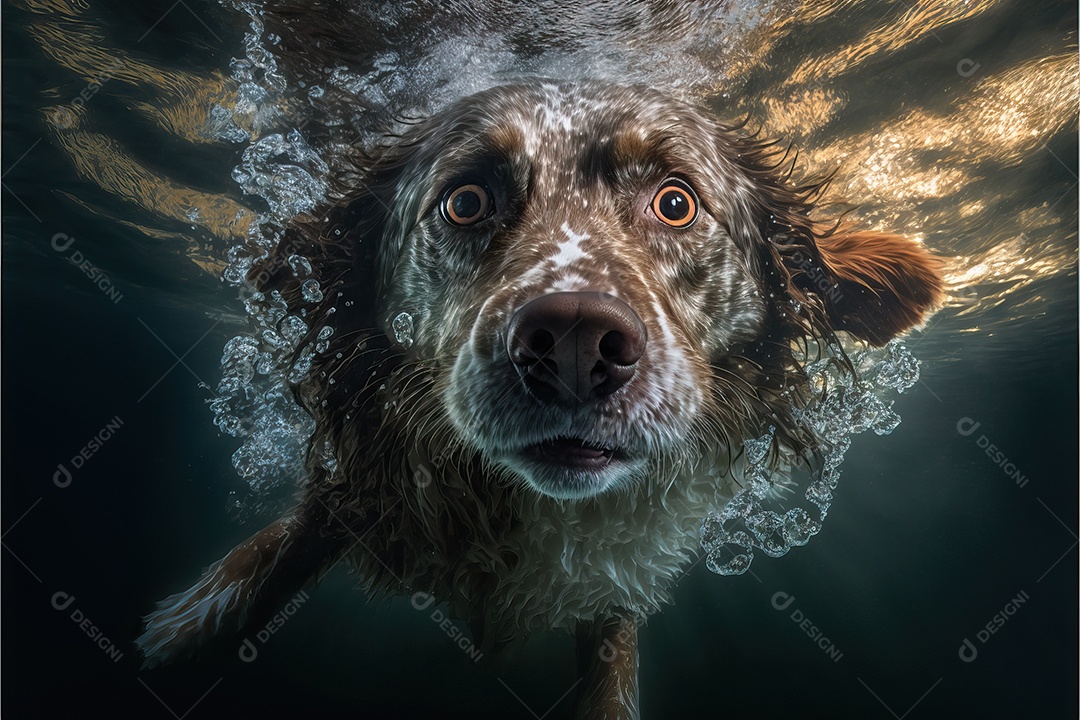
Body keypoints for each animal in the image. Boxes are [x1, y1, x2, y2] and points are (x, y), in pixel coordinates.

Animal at [137, 78, 946, 716]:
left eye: (675, 203)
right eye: (466, 201)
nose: (576, 343)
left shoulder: (615, 582)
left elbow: (612, 673)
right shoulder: (359, 479)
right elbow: (267, 559)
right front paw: (178, 639)